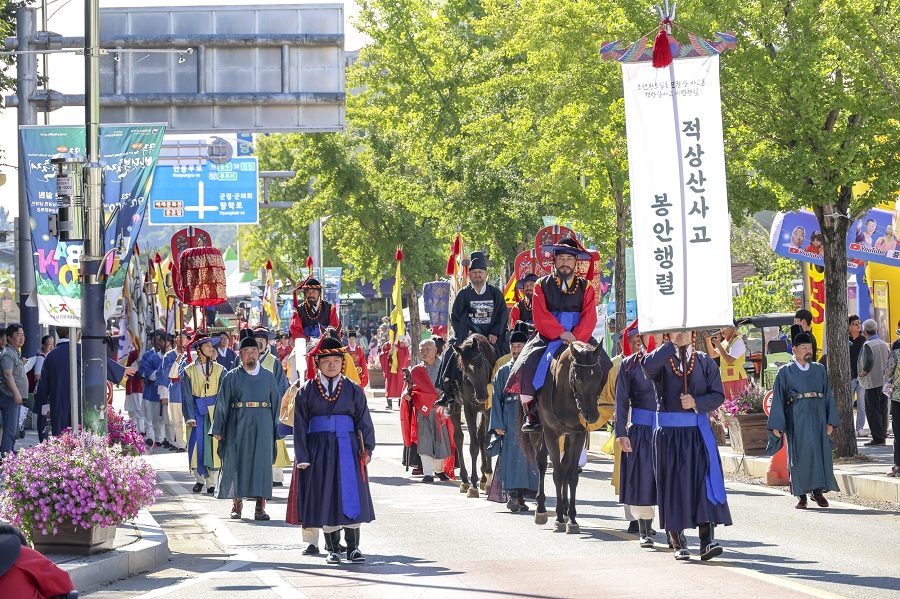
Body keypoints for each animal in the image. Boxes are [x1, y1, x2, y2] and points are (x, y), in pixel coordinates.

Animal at [450, 336, 500, 500]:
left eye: (481, 364)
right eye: (465, 370)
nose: (482, 396)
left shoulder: (489, 411)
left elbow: (486, 442)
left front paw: (488, 478)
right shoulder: (469, 408)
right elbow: (473, 446)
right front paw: (473, 485)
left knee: (481, 437)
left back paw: (484, 479)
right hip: (455, 406)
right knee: (459, 438)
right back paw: (465, 480)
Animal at [524, 342, 616, 536]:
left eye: (599, 376)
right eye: (578, 378)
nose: (592, 415)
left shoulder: (578, 434)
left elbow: (572, 474)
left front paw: (572, 519)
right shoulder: (551, 433)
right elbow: (558, 475)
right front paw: (558, 519)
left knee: (565, 464)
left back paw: (566, 510)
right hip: (538, 433)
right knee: (541, 463)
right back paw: (541, 509)